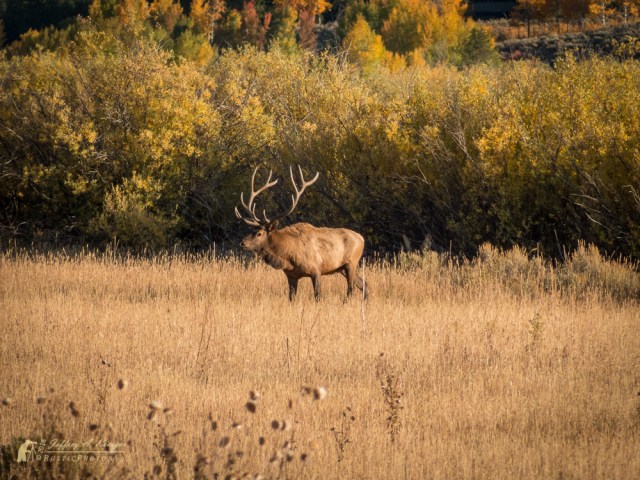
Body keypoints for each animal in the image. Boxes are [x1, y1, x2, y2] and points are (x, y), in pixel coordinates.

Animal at [235, 166, 367, 301]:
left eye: (259, 233)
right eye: (251, 230)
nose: (242, 242)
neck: (288, 255)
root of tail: (362, 239)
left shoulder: (316, 270)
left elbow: (317, 296)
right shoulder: (291, 276)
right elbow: (291, 298)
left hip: (351, 262)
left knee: (351, 288)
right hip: (341, 268)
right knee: (363, 284)